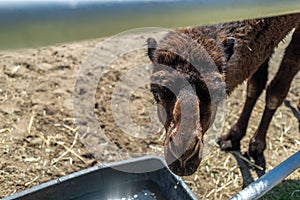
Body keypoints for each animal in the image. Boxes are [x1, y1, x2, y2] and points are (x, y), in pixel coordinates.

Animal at [147, 12, 300, 176]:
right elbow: (255, 85)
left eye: (217, 93)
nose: (184, 154)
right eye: (156, 93)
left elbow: (276, 92)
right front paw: (233, 137)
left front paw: (256, 148)